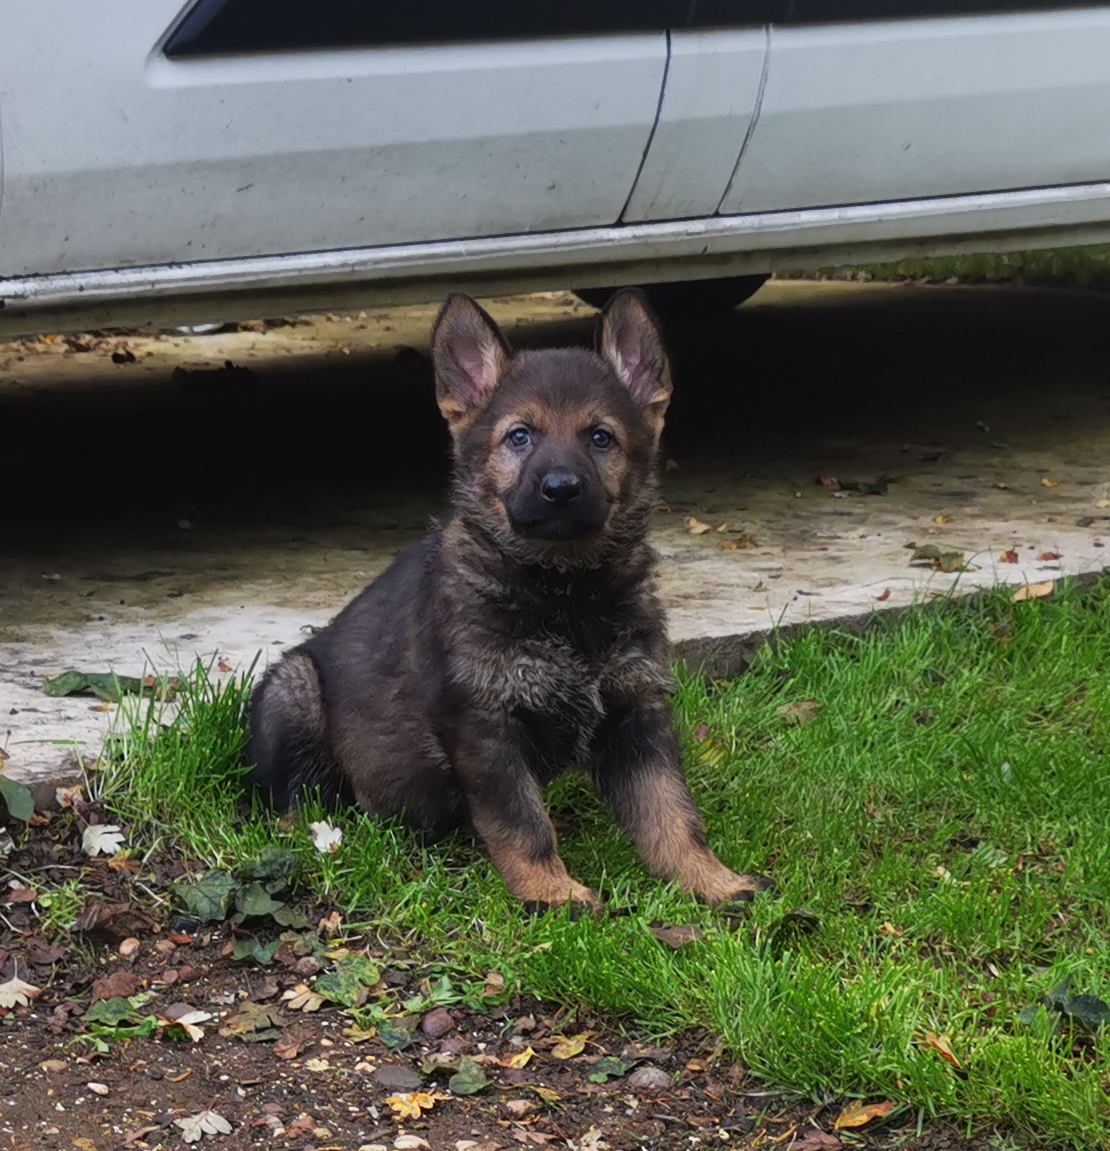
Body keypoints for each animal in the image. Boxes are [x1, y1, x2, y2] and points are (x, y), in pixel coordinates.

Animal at [245, 287, 764, 906]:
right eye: (520, 436)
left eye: (600, 437)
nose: (561, 489)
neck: (565, 589)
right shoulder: (485, 725)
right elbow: (522, 820)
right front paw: (552, 892)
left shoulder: (637, 709)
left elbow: (671, 809)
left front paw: (708, 879)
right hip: (294, 689)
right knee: (292, 803)